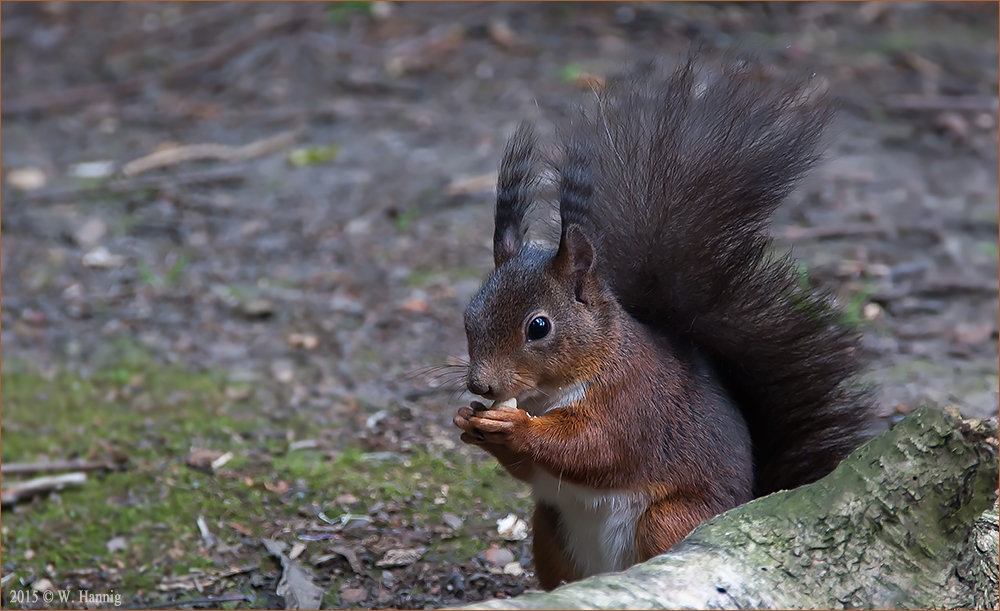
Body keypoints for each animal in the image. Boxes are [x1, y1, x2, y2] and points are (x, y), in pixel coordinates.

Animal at [454, 58, 876, 592]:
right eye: (469, 315)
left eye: (539, 327)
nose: (480, 385)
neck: (553, 391)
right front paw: (468, 422)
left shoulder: (633, 403)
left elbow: (593, 447)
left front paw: (512, 426)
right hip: (550, 529)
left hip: (668, 519)